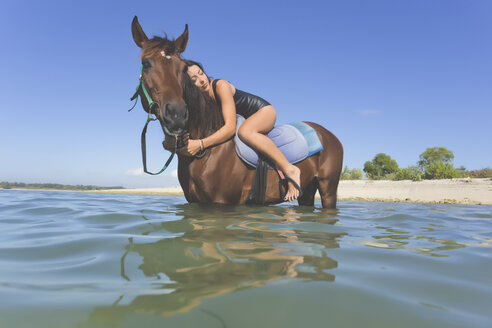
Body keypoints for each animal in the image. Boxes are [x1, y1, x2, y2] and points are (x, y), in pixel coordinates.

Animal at [130, 16, 342, 208]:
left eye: (183, 69)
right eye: (146, 63)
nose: (177, 115)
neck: (208, 148)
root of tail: (328, 135)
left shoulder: (221, 204)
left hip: (328, 190)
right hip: (308, 192)